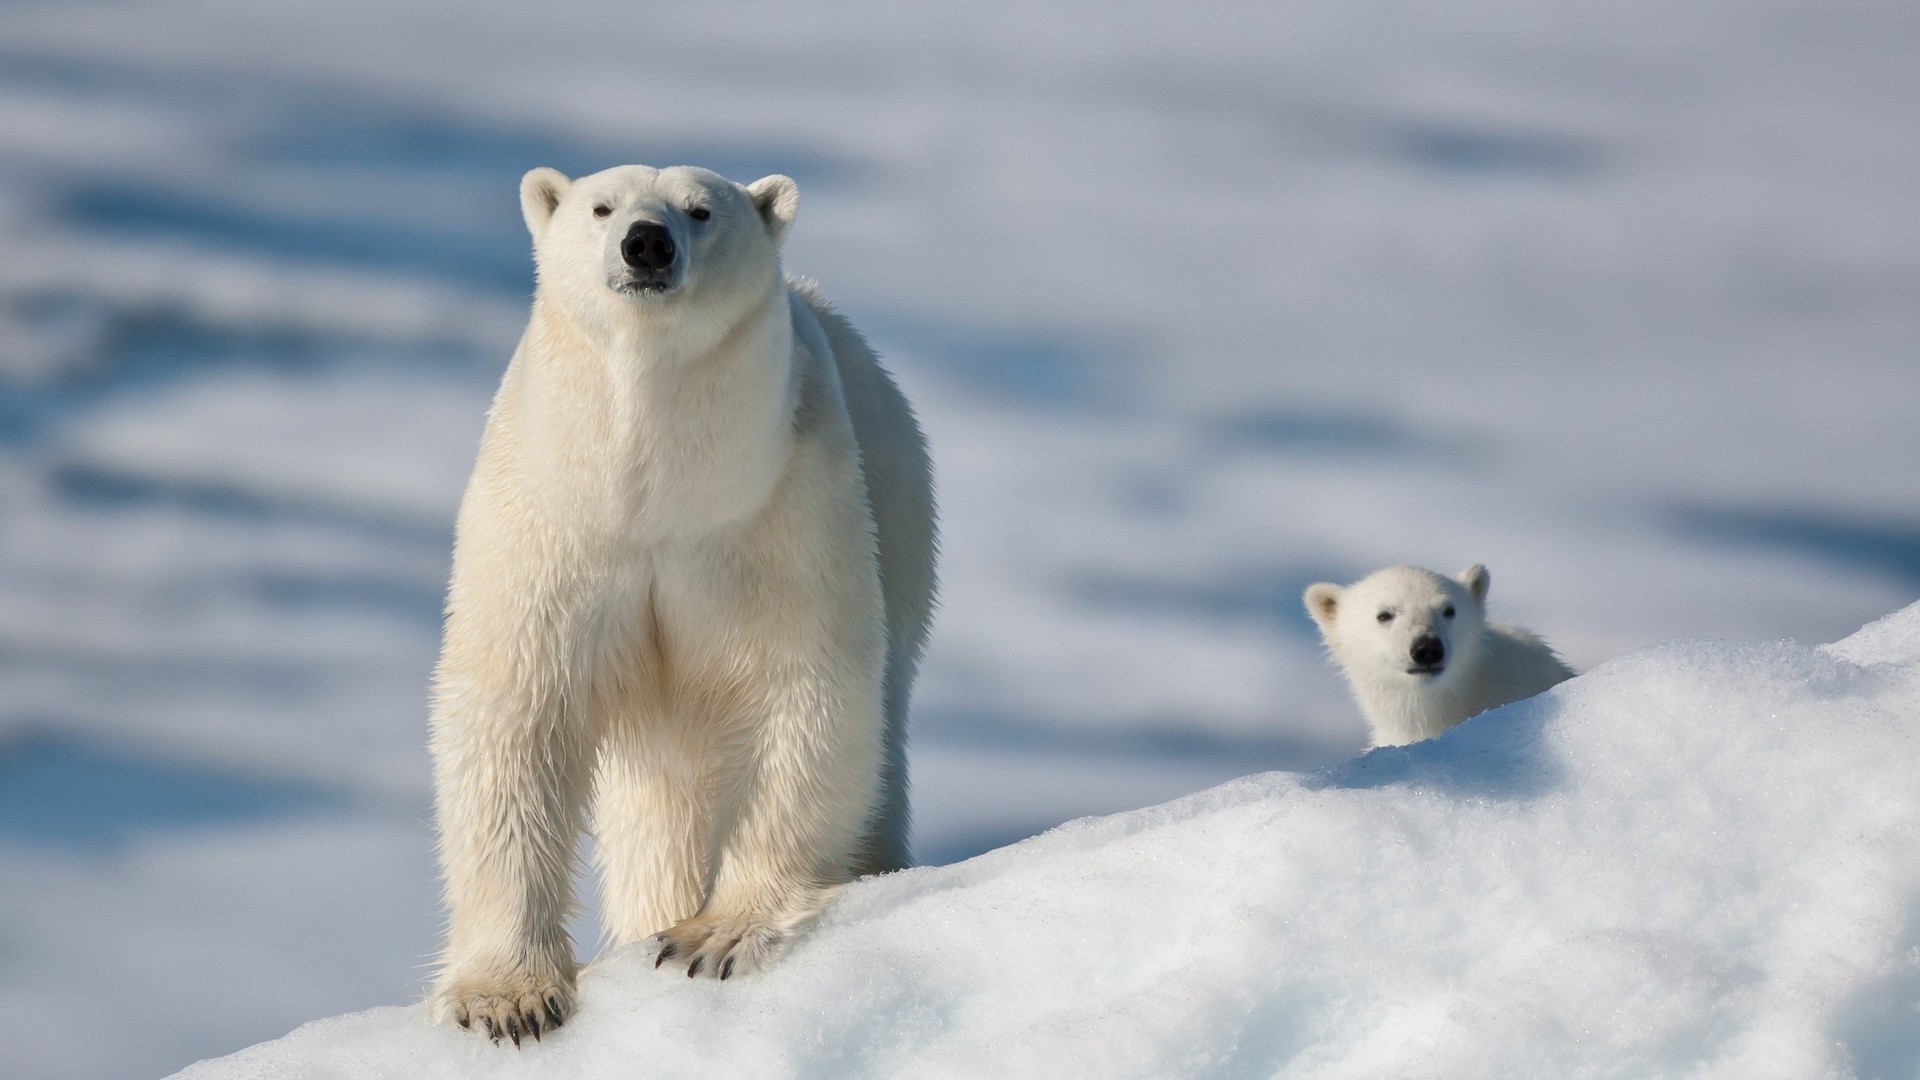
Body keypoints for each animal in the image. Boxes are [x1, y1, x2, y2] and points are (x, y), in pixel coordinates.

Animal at [437, 159, 944, 1037]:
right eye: (601, 206)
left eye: (701, 210)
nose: (646, 243)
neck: (654, 488)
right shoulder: (553, 519)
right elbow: (515, 712)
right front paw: (508, 999)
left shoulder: (776, 510)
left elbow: (800, 693)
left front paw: (714, 936)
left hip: (902, 526)